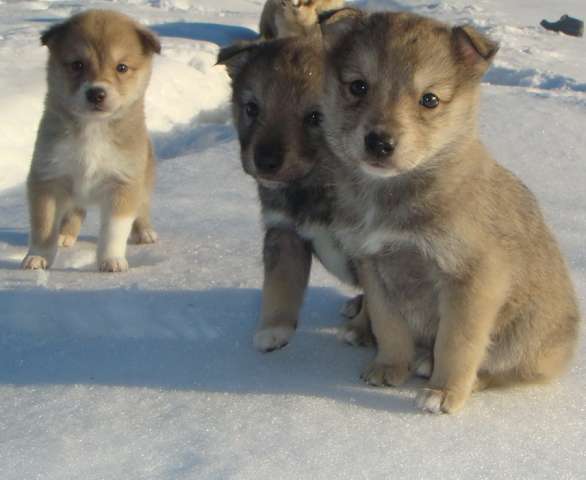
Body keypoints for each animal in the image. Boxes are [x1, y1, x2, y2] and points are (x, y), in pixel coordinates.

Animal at [22, 10, 160, 274]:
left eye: (122, 67)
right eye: (77, 64)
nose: (96, 93)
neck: (93, 129)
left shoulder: (123, 183)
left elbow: (114, 230)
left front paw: (111, 260)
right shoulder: (48, 177)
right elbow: (44, 226)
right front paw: (38, 257)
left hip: (144, 181)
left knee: (143, 207)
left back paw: (145, 232)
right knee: (75, 212)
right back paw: (65, 235)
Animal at [214, 37, 370, 350]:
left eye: (315, 117)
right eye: (252, 108)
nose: (265, 161)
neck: (315, 185)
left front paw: (362, 331)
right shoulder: (284, 232)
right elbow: (280, 283)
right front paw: (274, 329)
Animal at [320, 9, 580, 412]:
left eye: (429, 99)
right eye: (358, 87)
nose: (379, 143)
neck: (391, 194)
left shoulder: (472, 278)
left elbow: (458, 343)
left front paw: (444, 392)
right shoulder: (374, 267)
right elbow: (389, 327)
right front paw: (389, 367)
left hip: (523, 335)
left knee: (511, 368)